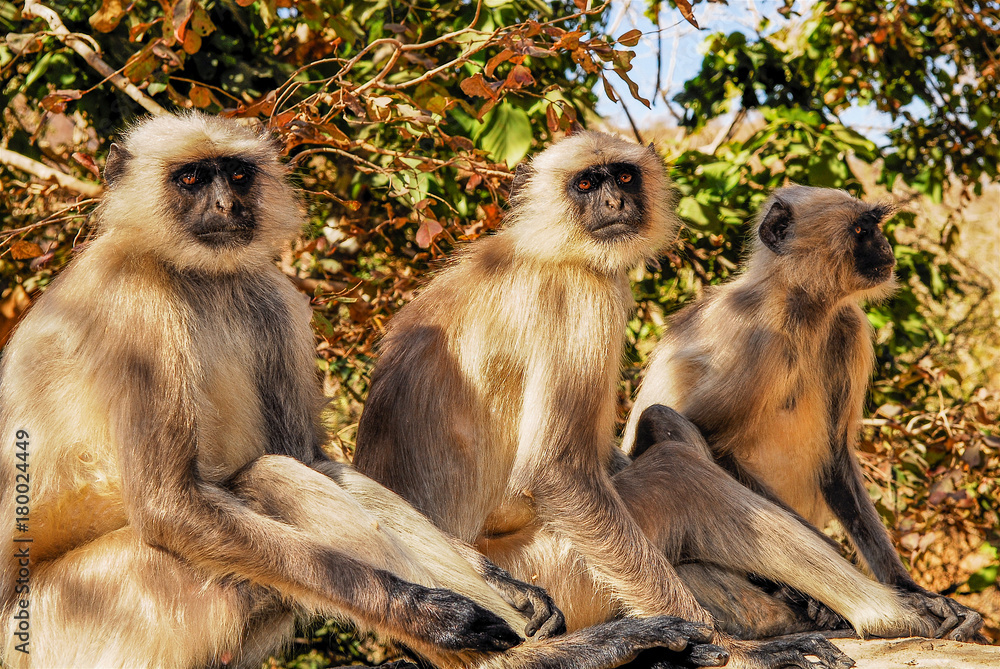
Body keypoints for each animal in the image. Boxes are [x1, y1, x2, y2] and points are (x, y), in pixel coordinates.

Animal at [0, 113, 728, 669]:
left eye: (235, 175)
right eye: (190, 178)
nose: (225, 206)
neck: (192, 273)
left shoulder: (269, 292)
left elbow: (313, 457)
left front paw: (499, 587)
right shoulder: (132, 302)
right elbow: (168, 504)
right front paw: (432, 615)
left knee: (289, 474)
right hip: (91, 611)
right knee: (258, 484)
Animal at [622, 185, 984, 642]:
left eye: (874, 228)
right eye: (861, 231)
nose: (885, 247)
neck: (802, 305)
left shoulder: (847, 326)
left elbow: (835, 460)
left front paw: (910, 588)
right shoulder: (759, 336)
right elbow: (705, 435)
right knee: (666, 422)